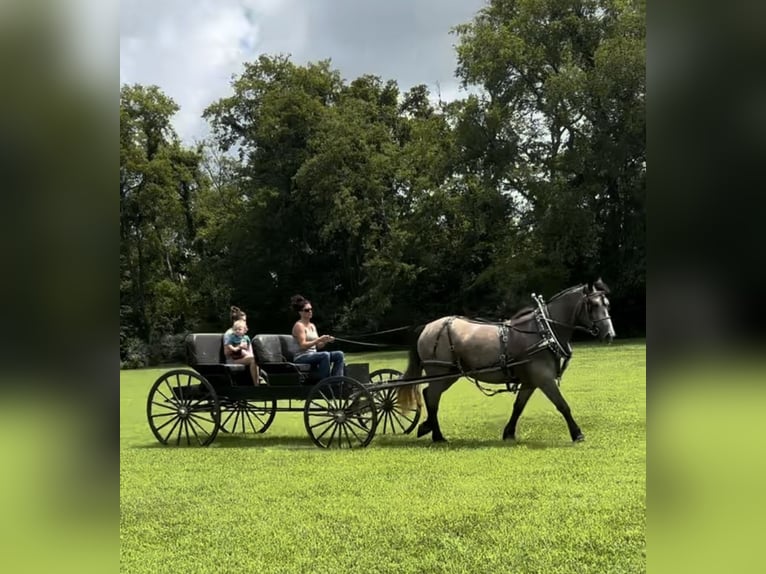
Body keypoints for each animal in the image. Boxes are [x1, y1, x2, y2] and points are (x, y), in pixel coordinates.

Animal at [400, 282, 616, 446]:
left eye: (607, 304)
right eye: (593, 305)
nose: (609, 335)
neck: (544, 331)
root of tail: (427, 327)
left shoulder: (530, 382)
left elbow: (518, 407)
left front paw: (509, 433)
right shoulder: (544, 379)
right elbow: (562, 405)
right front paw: (577, 433)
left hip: (450, 374)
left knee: (428, 394)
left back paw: (428, 427)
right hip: (440, 371)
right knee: (432, 397)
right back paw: (437, 435)